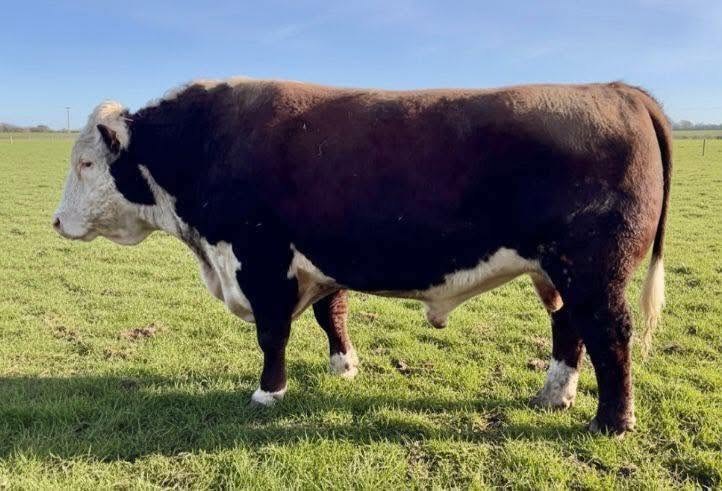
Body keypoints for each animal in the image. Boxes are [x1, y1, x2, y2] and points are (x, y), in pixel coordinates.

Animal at [53, 78, 671, 435]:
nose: (56, 221)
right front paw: (343, 366)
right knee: (570, 325)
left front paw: (268, 393)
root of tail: (615, 90)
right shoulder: (320, 259)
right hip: (556, 270)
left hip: (593, 270)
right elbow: (332, 314)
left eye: (85, 163)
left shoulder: (261, 259)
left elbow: (273, 334)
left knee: (609, 333)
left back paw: (612, 421)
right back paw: (553, 395)